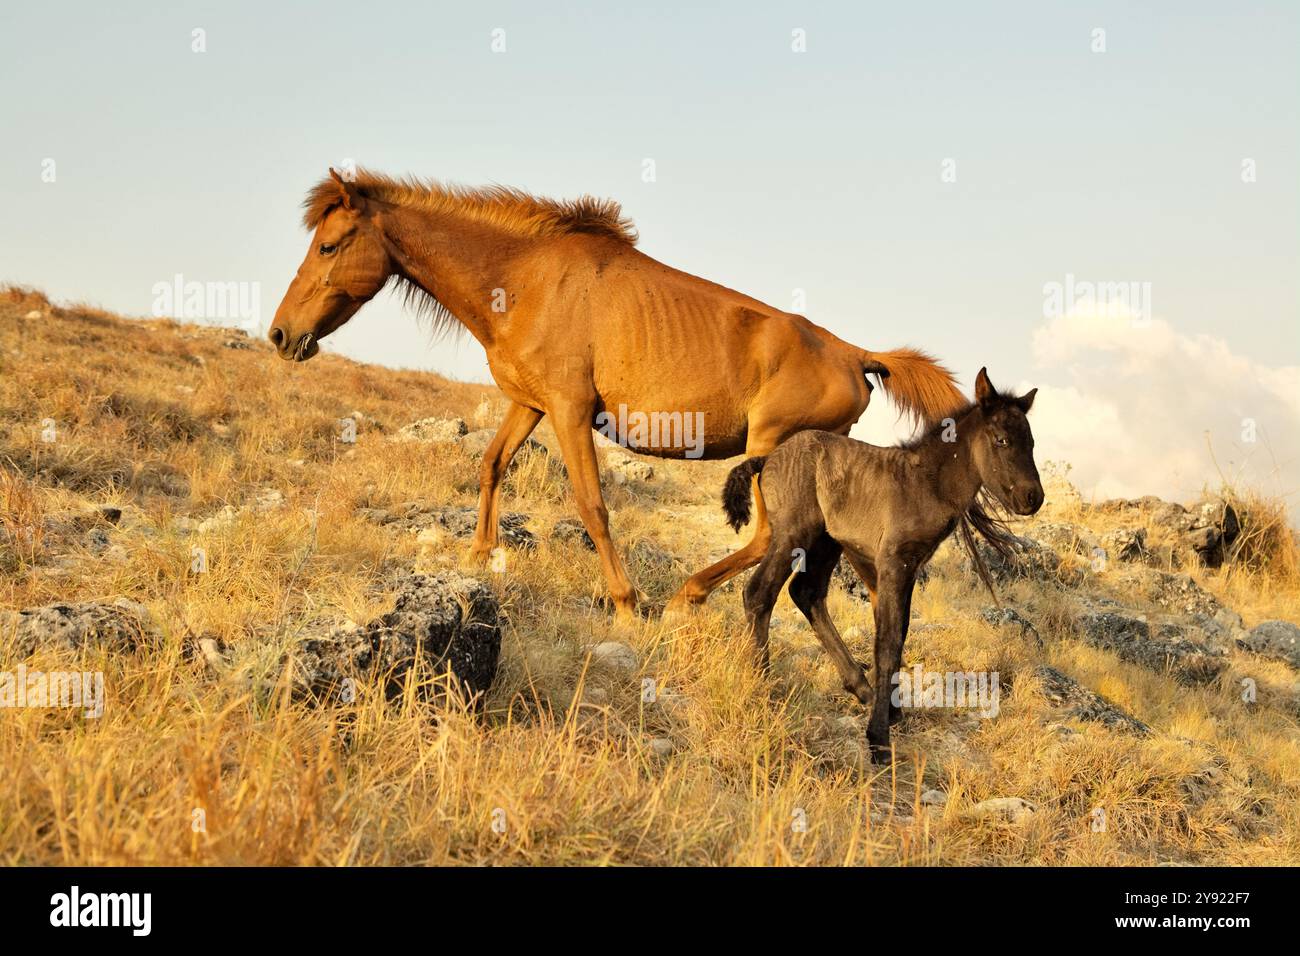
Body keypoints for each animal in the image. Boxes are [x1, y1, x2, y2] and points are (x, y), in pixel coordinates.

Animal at [269, 170, 967, 621]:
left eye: (328, 245)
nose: (281, 334)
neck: (524, 279)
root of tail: (855, 355)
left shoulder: (570, 412)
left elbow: (591, 504)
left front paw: (627, 602)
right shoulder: (531, 404)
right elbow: (492, 464)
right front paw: (478, 553)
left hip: (773, 448)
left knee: (771, 536)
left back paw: (687, 595)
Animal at [717, 369, 1040, 764]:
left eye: (1032, 443)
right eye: (1002, 439)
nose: (1033, 497)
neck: (926, 482)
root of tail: (767, 459)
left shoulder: (911, 568)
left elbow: (900, 634)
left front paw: (892, 709)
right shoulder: (892, 563)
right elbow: (886, 642)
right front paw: (879, 738)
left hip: (826, 541)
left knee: (806, 593)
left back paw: (863, 689)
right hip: (793, 533)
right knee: (759, 592)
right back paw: (764, 683)